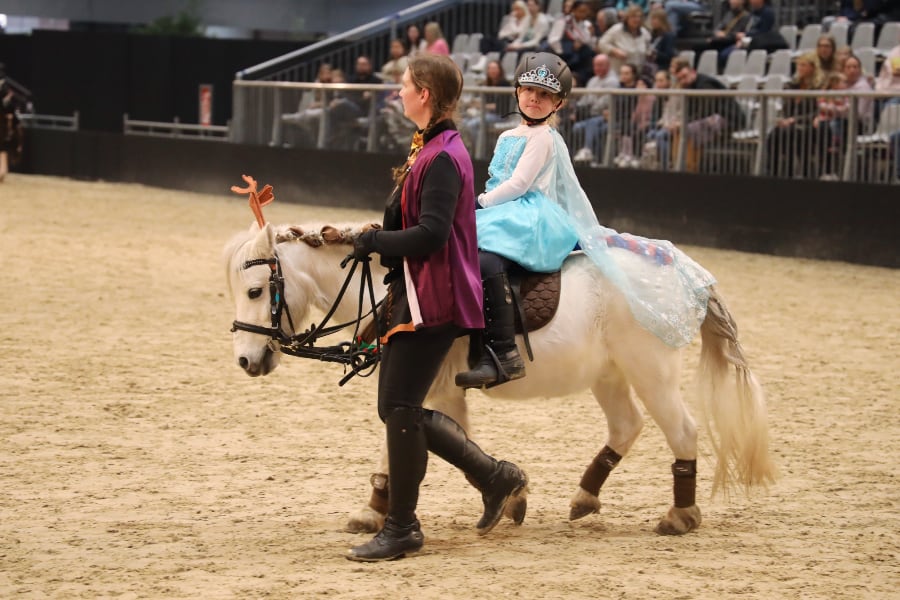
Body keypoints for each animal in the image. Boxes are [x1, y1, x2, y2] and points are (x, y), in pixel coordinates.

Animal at [223, 220, 777, 537]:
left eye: (255, 291)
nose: (246, 361)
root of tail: (688, 271)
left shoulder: (422, 386)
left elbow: (402, 437)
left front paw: (376, 511)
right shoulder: (441, 391)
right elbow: (451, 439)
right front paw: (505, 493)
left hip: (650, 370)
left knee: (681, 431)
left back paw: (680, 516)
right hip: (609, 374)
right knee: (626, 426)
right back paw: (585, 497)